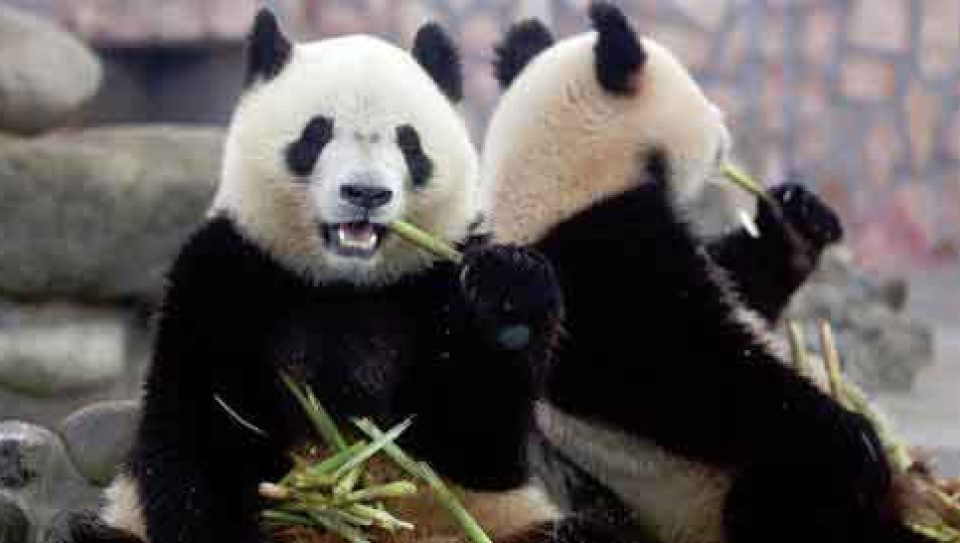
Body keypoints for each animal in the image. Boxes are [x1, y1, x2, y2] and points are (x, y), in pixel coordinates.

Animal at [49, 9, 638, 543]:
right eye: (316, 134)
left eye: (409, 142)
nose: (366, 193)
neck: (345, 283)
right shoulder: (229, 274)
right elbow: (200, 433)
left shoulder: (434, 280)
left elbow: (474, 442)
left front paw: (510, 291)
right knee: (80, 530)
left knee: (591, 530)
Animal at [481, 3, 931, 543]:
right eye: (698, 94)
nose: (724, 127)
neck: (556, 180)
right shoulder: (597, 270)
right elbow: (692, 371)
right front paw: (850, 436)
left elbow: (741, 285)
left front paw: (797, 222)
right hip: (705, 495)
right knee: (787, 494)